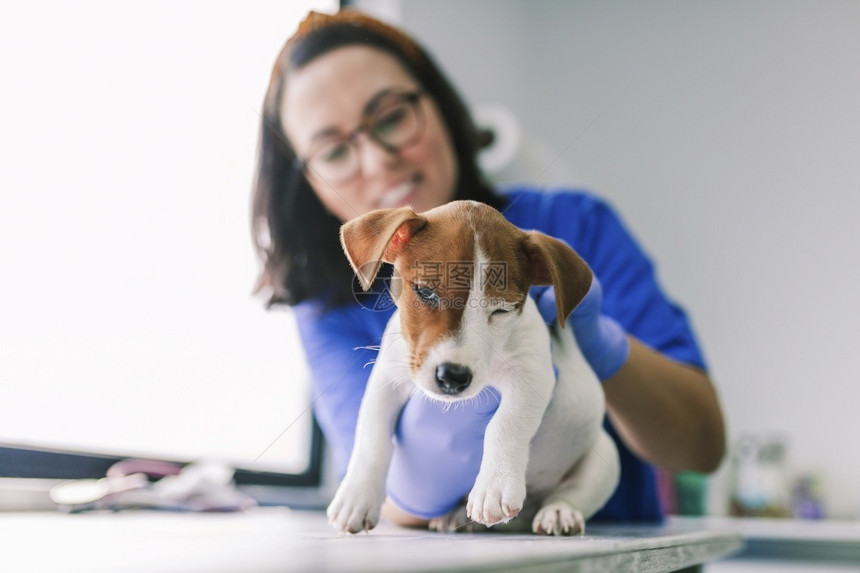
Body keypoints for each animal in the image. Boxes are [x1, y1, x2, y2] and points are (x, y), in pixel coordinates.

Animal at [328, 199, 620, 536]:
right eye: (425, 292)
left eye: (501, 310)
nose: (453, 377)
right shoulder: (388, 378)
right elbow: (371, 437)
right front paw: (356, 497)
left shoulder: (532, 374)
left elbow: (505, 424)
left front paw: (494, 487)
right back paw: (455, 516)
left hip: (604, 458)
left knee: (570, 494)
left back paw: (558, 513)